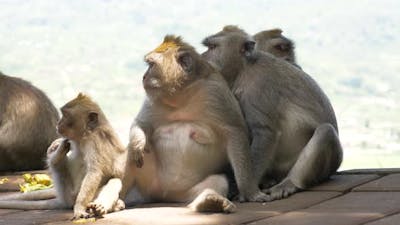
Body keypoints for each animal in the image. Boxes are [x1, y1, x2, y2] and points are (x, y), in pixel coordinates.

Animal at [121, 34, 268, 213]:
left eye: (151, 65)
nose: (143, 77)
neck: (183, 96)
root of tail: (163, 195)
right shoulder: (153, 99)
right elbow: (141, 124)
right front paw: (138, 144)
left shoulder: (215, 93)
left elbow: (235, 132)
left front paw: (250, 192)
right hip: (148, 181)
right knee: (133, 157)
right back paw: (111, 201)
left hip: (184, 193)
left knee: (218, 181)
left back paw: (210, 201)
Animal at [202, 25, 342, 200]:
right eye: (208, 47)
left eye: (212, 47)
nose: (202, 56)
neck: (243, 69)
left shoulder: (259, 87)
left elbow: (265, 133)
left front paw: (247, 192)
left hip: (327, 166)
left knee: (325, 131)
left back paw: (290, 182)